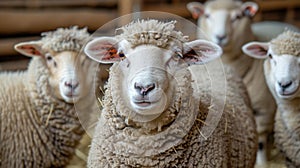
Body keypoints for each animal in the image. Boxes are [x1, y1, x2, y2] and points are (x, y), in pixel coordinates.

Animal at [188, 0, 276, 164]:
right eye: (207, 15)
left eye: (238, 16)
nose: (220, 36)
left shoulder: (263, 111)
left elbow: (261, 142)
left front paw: (263, 163)